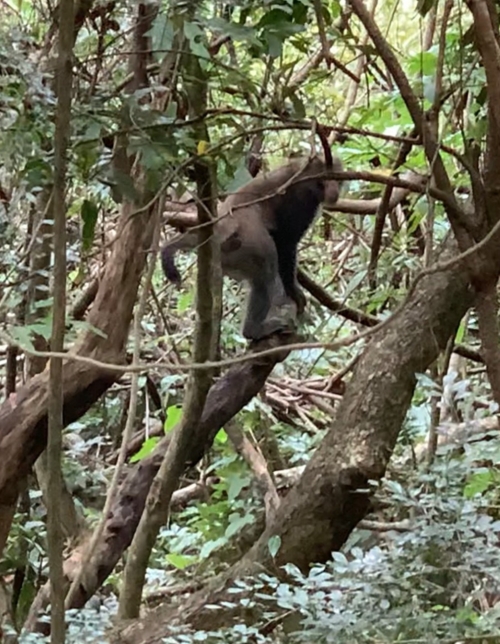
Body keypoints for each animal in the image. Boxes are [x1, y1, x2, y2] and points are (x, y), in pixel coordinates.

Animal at [162, 154, 342, 342]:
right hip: (248, 239)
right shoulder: (303, 199)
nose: (334, 191)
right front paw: (293, 291)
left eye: (338, 180)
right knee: (266, 269)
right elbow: (286, 243)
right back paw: (253, 330)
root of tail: (223, 226)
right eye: (324, 181)